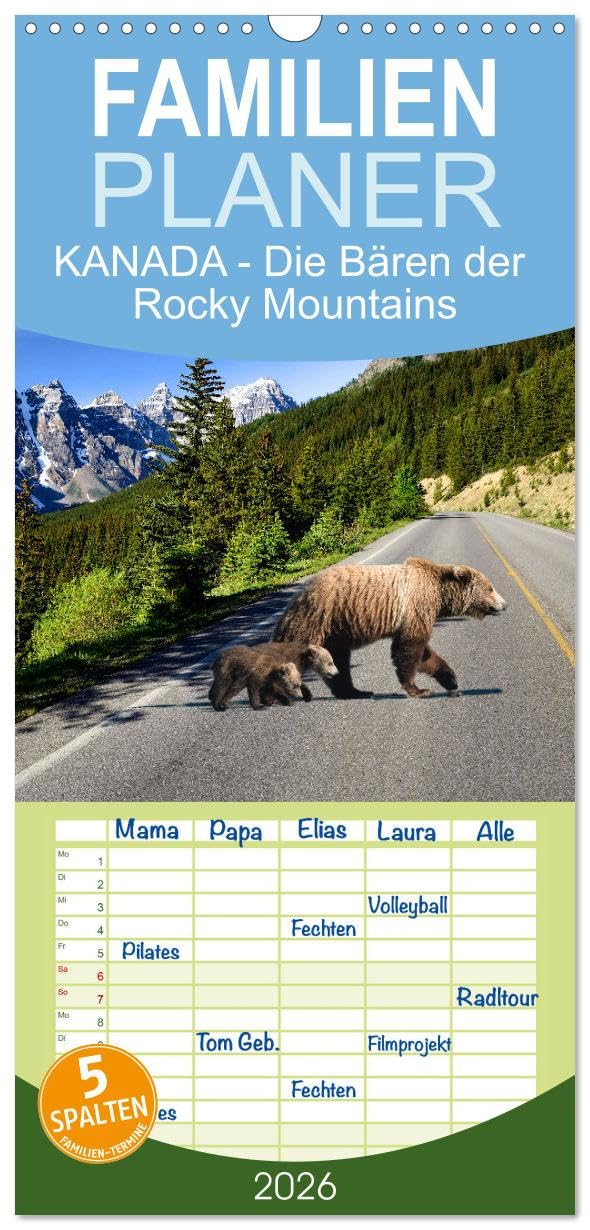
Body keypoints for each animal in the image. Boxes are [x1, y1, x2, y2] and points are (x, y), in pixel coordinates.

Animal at [273, 556, 507, 700]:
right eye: (490, 588)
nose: (504, 604)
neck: (440, 596)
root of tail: (296, 596)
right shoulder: (416, 606)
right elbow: (409, 649)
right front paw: (419, 689)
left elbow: (425, 654)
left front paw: (451, 680)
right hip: (316, 617)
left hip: (335, 631)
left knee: (339, 661)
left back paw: (355, 691)